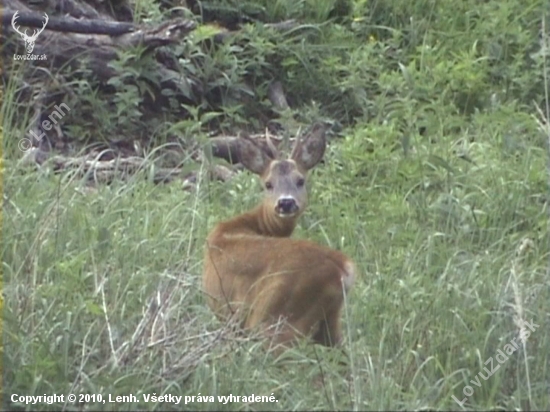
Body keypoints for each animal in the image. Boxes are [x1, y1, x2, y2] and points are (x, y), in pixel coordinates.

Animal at [204, 123, 358, 350]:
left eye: (300, 180)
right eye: (268, 184)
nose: (286, 202)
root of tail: (341, 268)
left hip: (276, 317)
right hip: (330, 321)